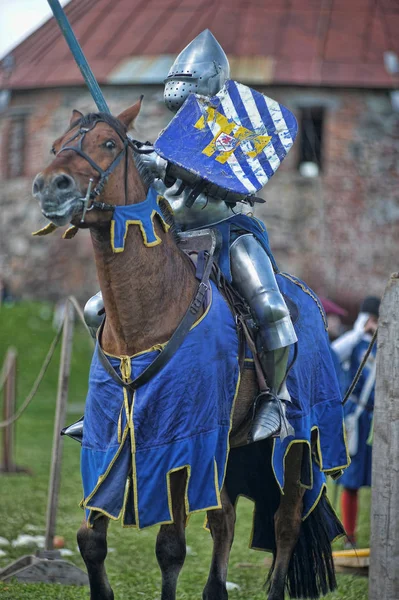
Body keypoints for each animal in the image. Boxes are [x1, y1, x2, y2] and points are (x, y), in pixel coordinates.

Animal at [32, 99, 348, 600]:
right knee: (225, 522)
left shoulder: (183, 442)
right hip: (231, 449)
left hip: (299, 441)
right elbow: (90, 540)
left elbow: (171, 548)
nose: (50, 186)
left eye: (109, 144)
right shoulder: (113, 442)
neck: (146, 318)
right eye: (56, 145)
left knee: (285, 523)